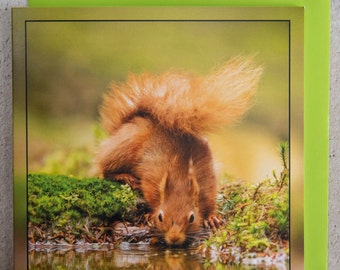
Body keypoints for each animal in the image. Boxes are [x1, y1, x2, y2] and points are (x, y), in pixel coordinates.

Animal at [94, 57, 262, 247]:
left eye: (191, 217)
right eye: (161, 217)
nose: (173, 238)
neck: (180, 175)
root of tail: (130, 122)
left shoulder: (207, 178)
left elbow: (210, 199)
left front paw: (211, 217)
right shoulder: (152, 177)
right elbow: (151, 195)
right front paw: (149, 214)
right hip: (123, 147)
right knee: (105, 168)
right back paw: (124, 176)